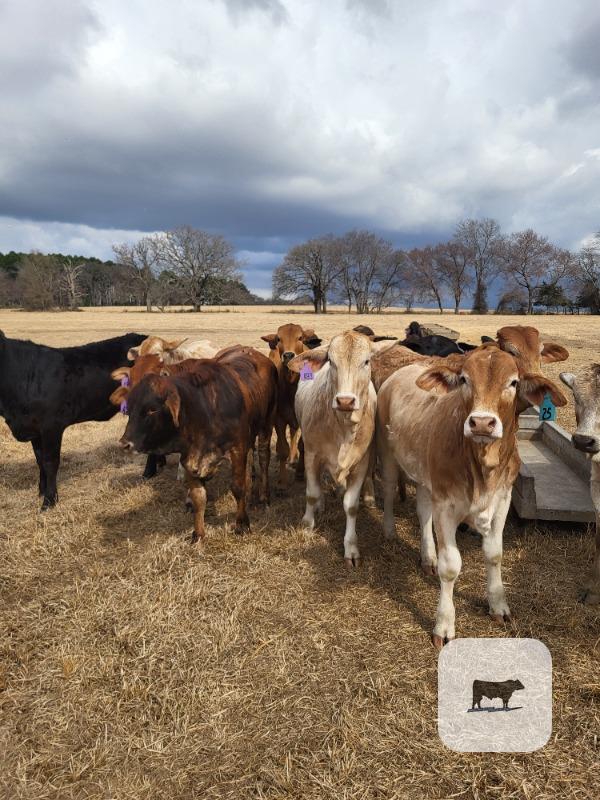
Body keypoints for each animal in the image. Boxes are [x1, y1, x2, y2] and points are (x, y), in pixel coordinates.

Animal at [0, 330, 146, 509]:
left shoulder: (52, 426)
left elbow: (50, 462)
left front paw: (49, 501)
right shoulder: (34, 429)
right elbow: (39, 460)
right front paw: (41, 491)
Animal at [119, 348, 277, 542]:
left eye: (152, 409)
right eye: (130, 407)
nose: (125, 444)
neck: (202, 409)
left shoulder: (237, 449)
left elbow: (238, 488)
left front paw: (242, 524)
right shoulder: (189, 457)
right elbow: (198, 496)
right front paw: (198, 533)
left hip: (266, 424)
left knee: (263, 458)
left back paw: (264, 496)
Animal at [260, 324, 322, 486]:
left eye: (300, 337)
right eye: (278, 338)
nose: (288, 355)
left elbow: (302, 445)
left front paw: (300, 472)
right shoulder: (279, 419)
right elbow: (282, 448)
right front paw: (282, 480)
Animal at [288, 331, 398, 567]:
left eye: (366, 361)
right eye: (331, 361)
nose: (345, 401)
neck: (343, 429)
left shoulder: (361, 463)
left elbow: (351, 505)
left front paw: (351, 548)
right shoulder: (312, 455)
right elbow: (311, 492)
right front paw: (307, 523)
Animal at [376, 345, 567, 647]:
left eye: (513, 382)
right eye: (465, 379)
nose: (482, 423)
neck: (482, 469)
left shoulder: (502, 499)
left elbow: (494, 554)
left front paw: (498, 605)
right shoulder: (446, 506)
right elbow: (451, 566)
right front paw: (444, 625)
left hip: (425, 476)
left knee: (422, 511)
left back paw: (428, 556)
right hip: (388, 454)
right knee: (388, 490)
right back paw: (389, 530)